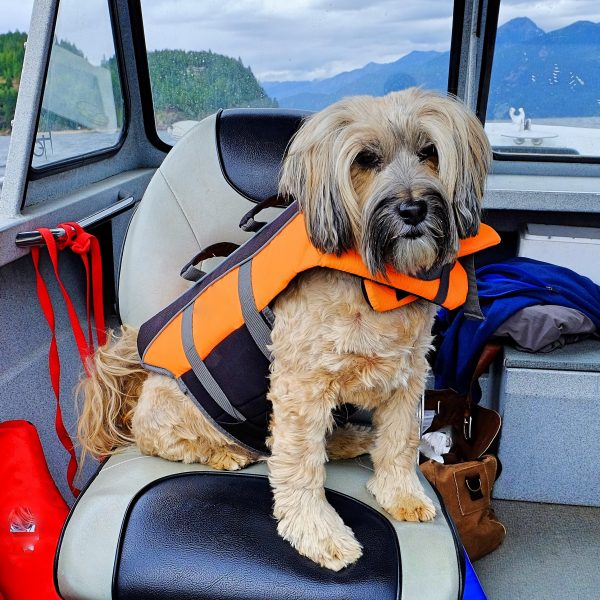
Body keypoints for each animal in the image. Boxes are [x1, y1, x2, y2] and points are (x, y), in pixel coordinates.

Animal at [78, 88, 492, 572]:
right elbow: (299, 467)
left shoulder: (406, 375)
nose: (413, 208)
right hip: (176, 409)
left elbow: (400, 442)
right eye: (366, 159)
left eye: (430, 152)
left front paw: (400, 495)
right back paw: (227, 452)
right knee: (179, 442)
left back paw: (348, 440)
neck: (376, 283)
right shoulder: (301, 386)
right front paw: (318, 533)